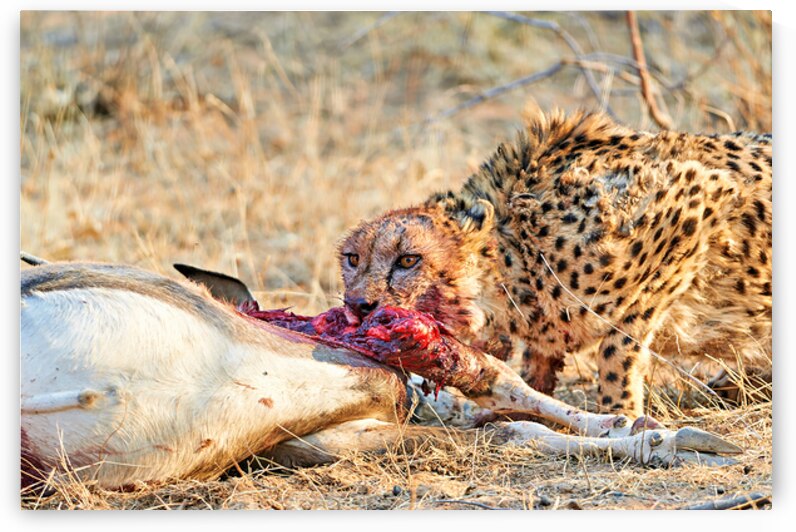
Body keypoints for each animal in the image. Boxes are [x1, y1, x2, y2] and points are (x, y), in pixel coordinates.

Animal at [338, 110, 772, 418]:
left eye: (408, 259)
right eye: (353, 259)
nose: (358, 305)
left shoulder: (695, 200)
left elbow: (619, 344)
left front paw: (621, 412)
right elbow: (540, 359)